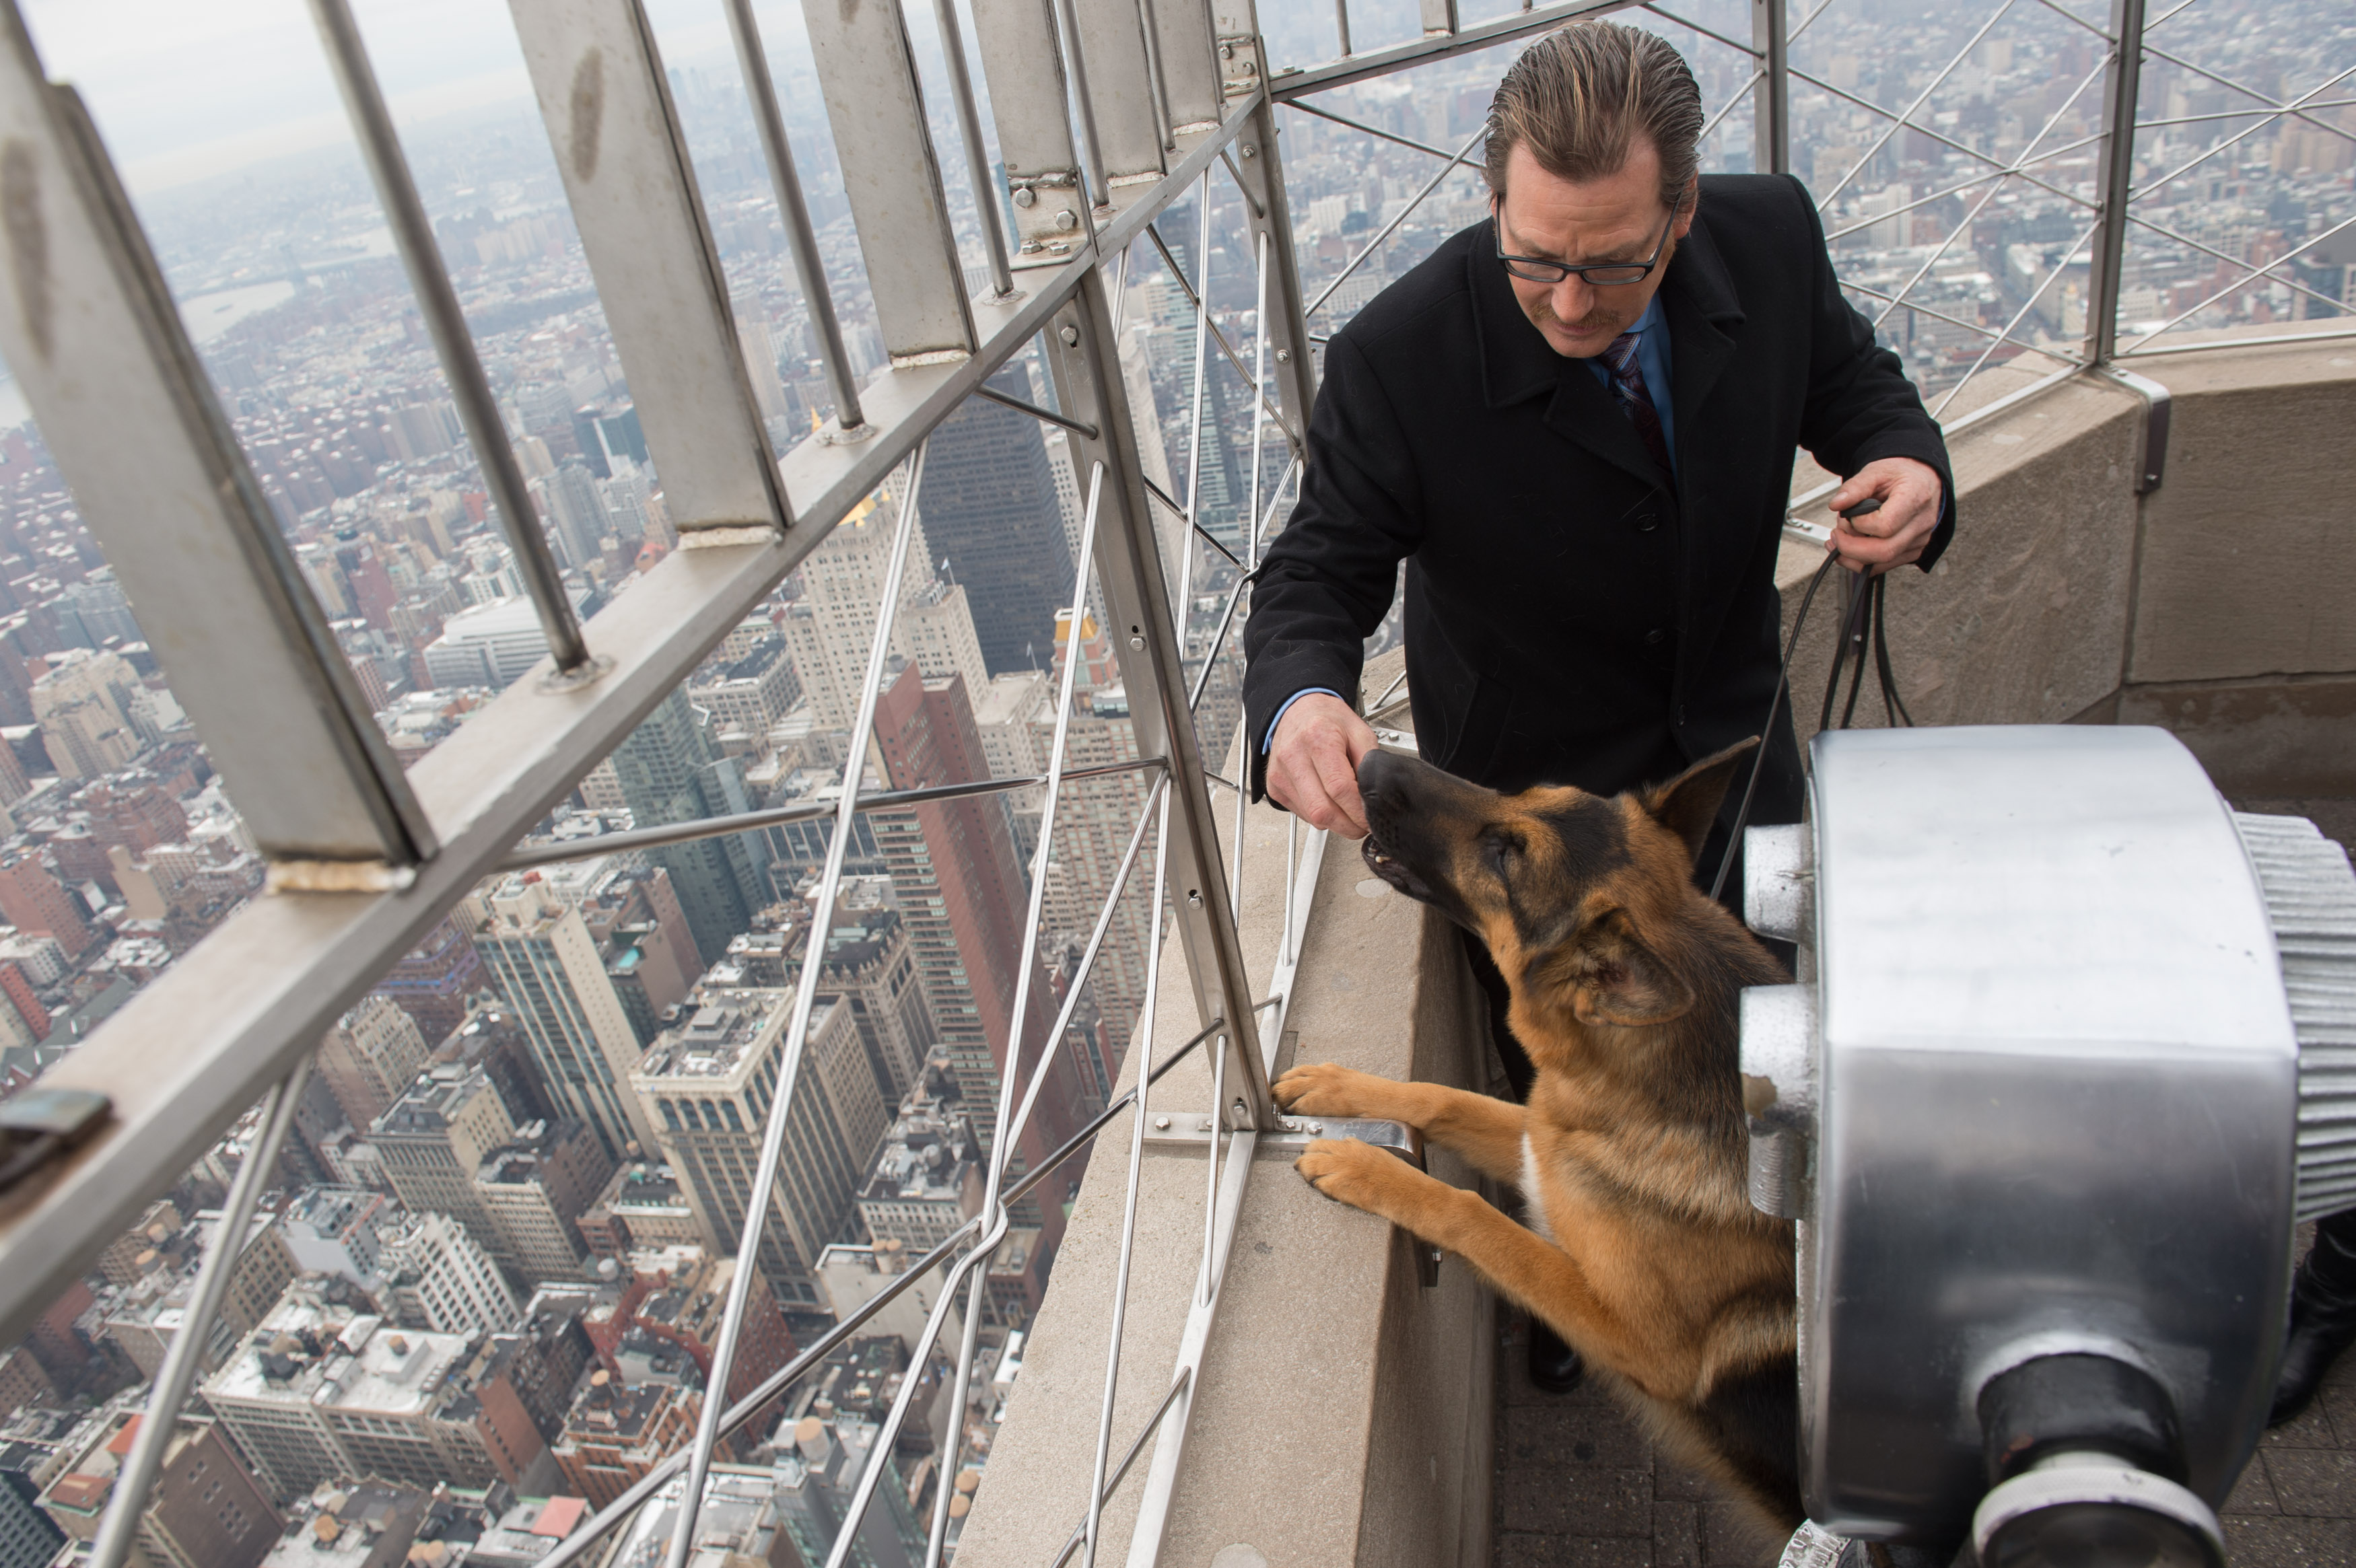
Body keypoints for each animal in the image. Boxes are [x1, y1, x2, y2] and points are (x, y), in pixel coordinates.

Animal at [1272, 739, 1800, 1535]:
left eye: (1503, 855)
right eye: (1528, 791)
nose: (1369, 761)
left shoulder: (1628, 1333)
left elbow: (1475, 1215)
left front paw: (1367, 1168)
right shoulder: (1543, 1140)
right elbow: (1441, 1096)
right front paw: (1338, 1090)